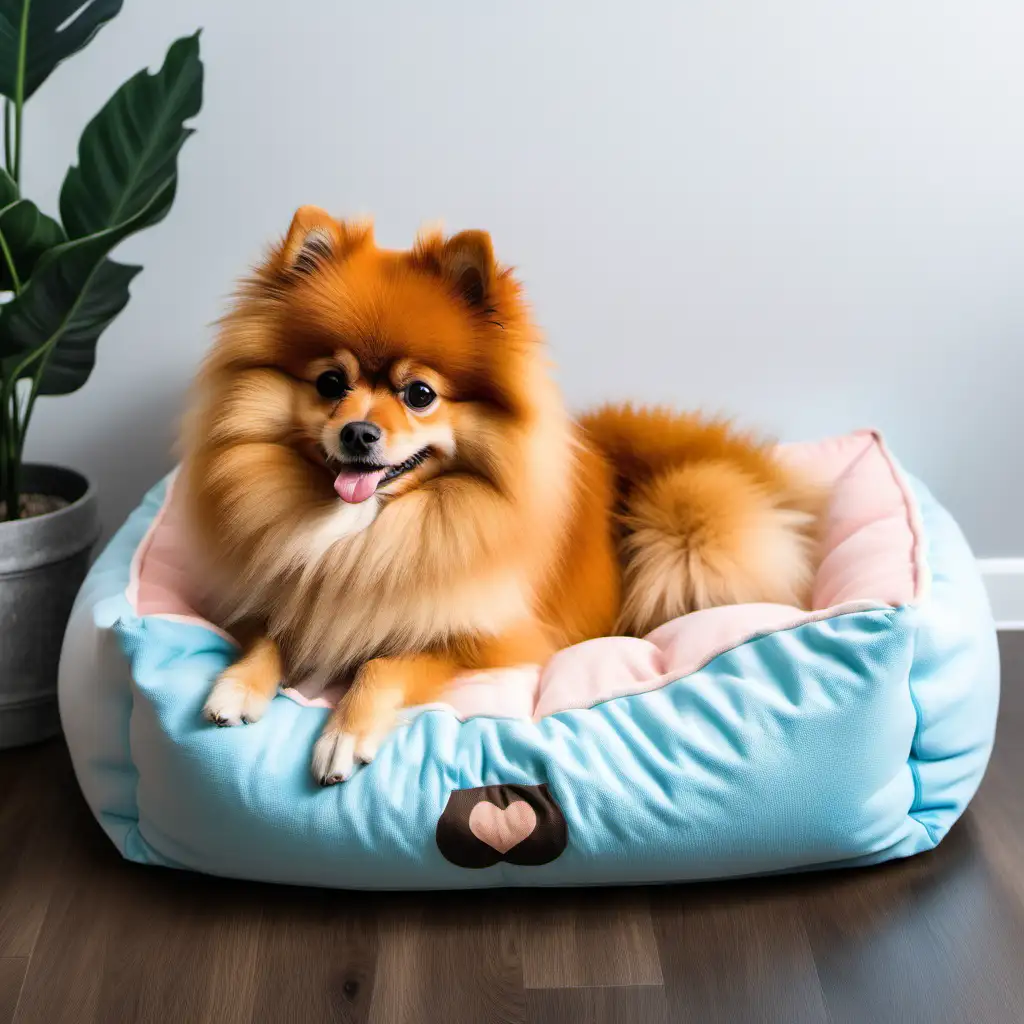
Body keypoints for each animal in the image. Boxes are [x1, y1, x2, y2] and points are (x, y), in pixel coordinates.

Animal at [182, 205, 823, 782]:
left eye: (419, 394)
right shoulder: (275, 596)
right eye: (330, 383)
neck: (366, 533)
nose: (358, 432)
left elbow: (386, 663)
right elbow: (269, 635)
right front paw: (238, 685)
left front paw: (345, 732)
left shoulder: (487, 641)